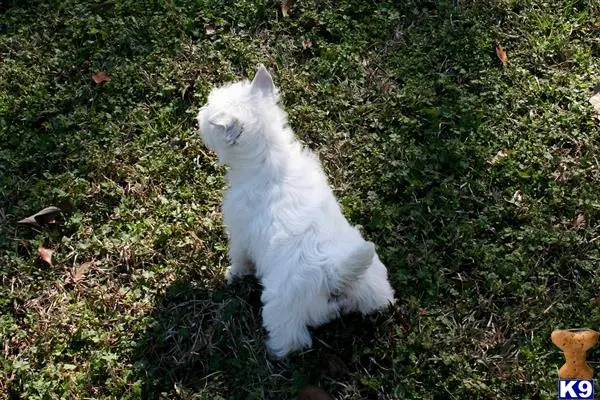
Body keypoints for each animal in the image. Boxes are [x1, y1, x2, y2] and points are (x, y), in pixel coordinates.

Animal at [196, 64, 394, 358]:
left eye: (210, 108)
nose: (199, 112)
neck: (270, 157)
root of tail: (334, 276)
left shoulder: (240, 232)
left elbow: (240, 257)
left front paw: (232, 274)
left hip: (283, 308)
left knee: (292, 339)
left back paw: (274, 351)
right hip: (372, 283)